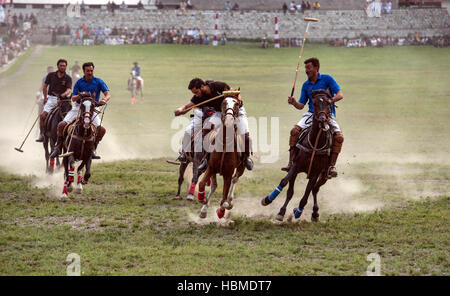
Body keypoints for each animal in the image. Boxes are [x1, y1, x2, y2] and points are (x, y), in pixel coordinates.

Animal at [260, 89, 334, 222]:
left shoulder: (315, 173)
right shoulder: (296, 166)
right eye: (314, 103)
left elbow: (306, 195)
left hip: (324, 175)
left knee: (315, 189)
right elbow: (286, 184)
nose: (322, 120)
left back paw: (314, 213)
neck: (315, 143)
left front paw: (298, 211)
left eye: (328, 103)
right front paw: (270, 201)